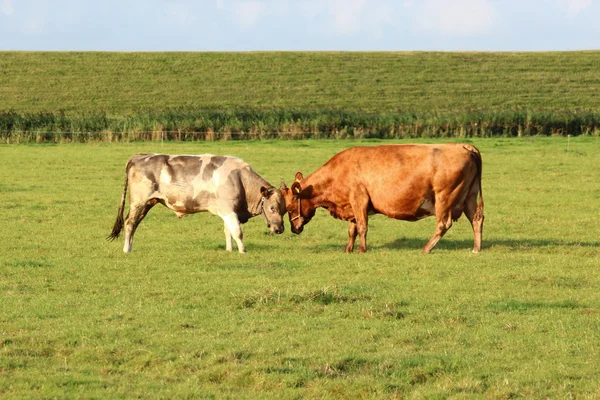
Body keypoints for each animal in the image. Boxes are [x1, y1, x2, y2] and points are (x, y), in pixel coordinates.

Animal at [107, 153, 286, 253]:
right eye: (272, 207)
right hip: (139, 202)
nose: (280, 229)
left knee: (134, 224)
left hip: (147, 203)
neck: (240, 178)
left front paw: (230, 250)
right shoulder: (229, 209)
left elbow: (227, 231)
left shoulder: (226, 210)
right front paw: (243, 251)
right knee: (129, 223)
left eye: (284, 210)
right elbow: (237, 232)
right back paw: (126, 250)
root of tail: (139, 156)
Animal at [284, 144, 486, 253]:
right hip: (469, 196)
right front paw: (348, 250)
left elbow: (362, 227)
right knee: (477, 219)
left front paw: (362, 250)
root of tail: (462, 146)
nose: (294, 229)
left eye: (290, 208)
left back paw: (426, 248)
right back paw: (476, 248)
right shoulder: (352, 204)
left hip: (444, 197)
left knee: (443, 223)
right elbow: (352, 229)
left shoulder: (358, 198)